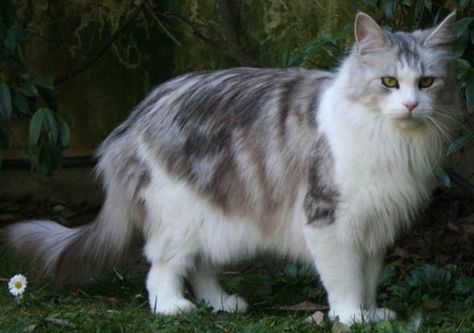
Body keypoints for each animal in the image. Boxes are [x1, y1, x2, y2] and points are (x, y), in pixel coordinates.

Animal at [5, 11, 460, 322]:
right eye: (388, 82)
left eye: (426, 82)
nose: (411, 105)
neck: (394, 141)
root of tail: (137, 113)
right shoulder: (331, 220)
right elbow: (344, 279)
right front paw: (350, 317)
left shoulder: (374, 226)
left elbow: (367, 278)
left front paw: (371, 314)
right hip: (178, 213)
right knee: (161, 267)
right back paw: (172, 307)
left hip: (211, 214)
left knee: (200, 264)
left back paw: (221, 304)